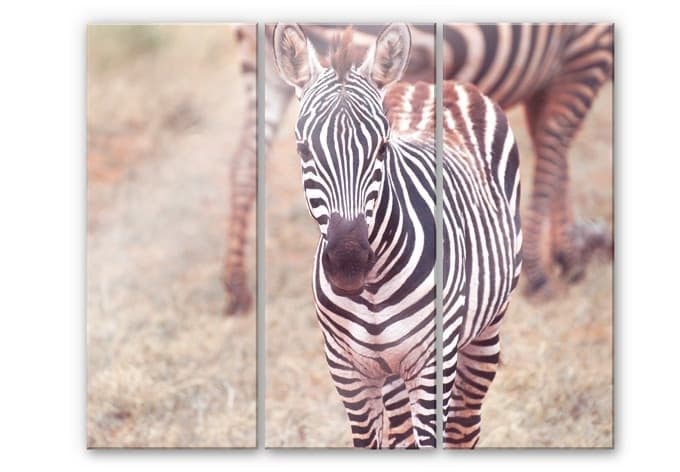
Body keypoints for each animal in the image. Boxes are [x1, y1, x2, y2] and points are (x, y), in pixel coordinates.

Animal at [223, 23, 612, 314]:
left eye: (381, 148)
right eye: (304, 149)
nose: (348, 262)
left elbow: (554, 153)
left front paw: (566, 252)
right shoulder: (589, 52)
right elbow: (553, 145)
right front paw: (545, 268)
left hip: (264, 70)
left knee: (244, 163)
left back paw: (237, 288)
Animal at [272, 23, 522, 448]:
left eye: (382, 148)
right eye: (304, 151)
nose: (349, 262)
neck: (372, 288)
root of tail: (431, 84)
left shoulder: (433, 363)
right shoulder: (347, 369)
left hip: (487, 327)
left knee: (465, 425)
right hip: (391, 374)